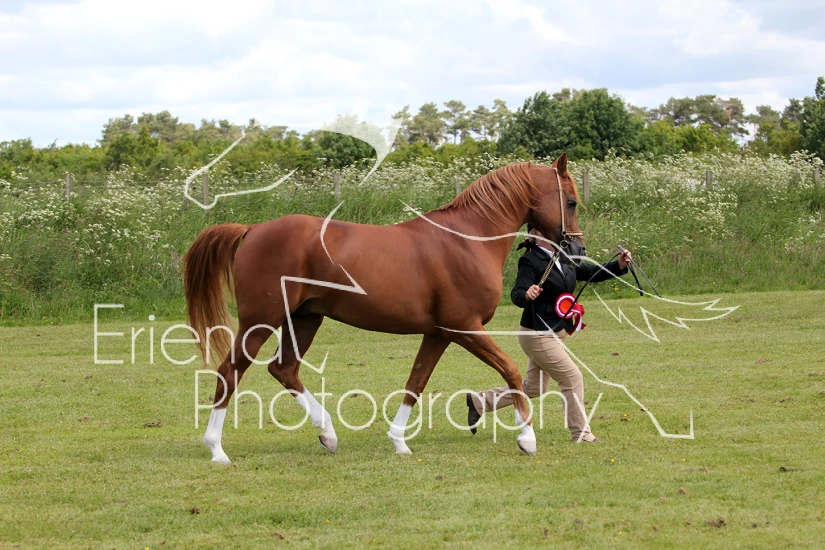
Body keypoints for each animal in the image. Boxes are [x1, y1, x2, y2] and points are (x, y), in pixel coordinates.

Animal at [183, 153, 585, 463]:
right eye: (571, 202)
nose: (577, 251)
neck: (467, 240)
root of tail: (252, 229)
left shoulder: (439, 333)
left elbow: (415, 384)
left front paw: (399, 441)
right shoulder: (466, 328)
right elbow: (511, 371)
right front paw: (527, 438)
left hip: (305, 319)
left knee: (284, 369)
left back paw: (328, 433)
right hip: (260, 321)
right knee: (230, 372)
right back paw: (217, 449)